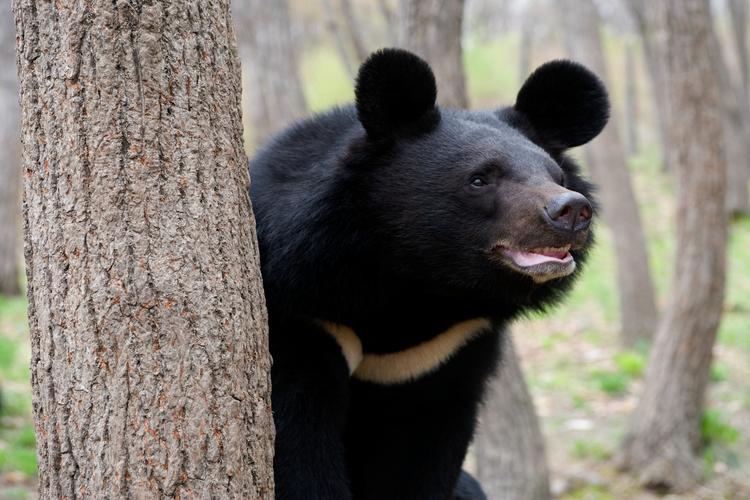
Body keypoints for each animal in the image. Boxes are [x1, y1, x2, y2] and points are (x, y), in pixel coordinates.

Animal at [249, 48, 608, 499]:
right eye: (480, 179)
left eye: (556, 176)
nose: (571, 210)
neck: (421, 285)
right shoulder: (305, 316)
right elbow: (297, 442)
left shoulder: (443, 353)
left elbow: (420, 453)